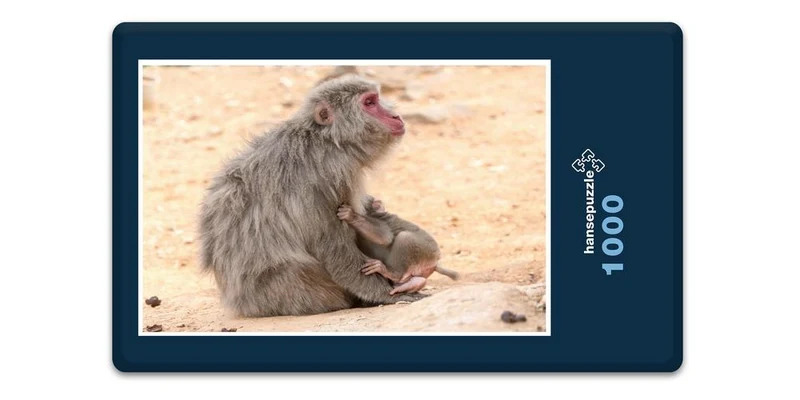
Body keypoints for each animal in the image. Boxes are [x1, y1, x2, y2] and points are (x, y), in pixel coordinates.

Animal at [198, 75, 425, 318]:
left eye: (376, 98)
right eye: (370, 103)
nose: (395, 116)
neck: (327, 139)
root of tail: (241, 303)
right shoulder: (332, 174)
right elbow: (333, 245)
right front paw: (386, 294)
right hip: (299, 293)